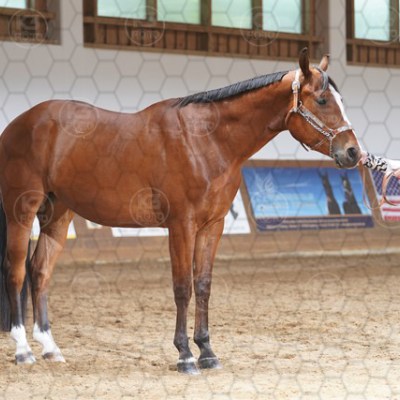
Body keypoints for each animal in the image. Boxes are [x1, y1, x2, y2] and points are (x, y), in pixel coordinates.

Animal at [0, 48, 361, 374]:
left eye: (341, 100)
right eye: (323, 100)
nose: (353, 152)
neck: (206, 140)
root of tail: (19, 124)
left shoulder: (212, 226)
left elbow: (203, 285)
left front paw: (207, 352)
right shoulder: (181, 225)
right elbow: (182, 287)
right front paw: (185, 355)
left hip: (58, 215)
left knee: (40, 272)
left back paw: (50, 348)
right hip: (22, 213)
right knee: (16, 271)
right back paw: (23, 350)